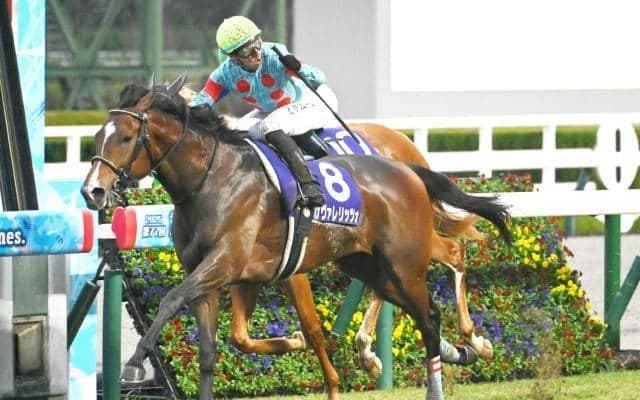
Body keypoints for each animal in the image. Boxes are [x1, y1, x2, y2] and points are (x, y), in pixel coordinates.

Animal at [81, 76, 511, 400]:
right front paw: (292, 344)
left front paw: (133, 364)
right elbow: (214, 349)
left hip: (404, 261)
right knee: (418, 299)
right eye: (98, 135)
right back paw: (447, 350)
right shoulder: (224, 277)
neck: (212, 179)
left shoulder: (227, 264)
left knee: (436, 298)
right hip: (366, 263)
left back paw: (459, 349)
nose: (92, 191)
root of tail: (407, 166)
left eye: (124, 138)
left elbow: (172, 300)